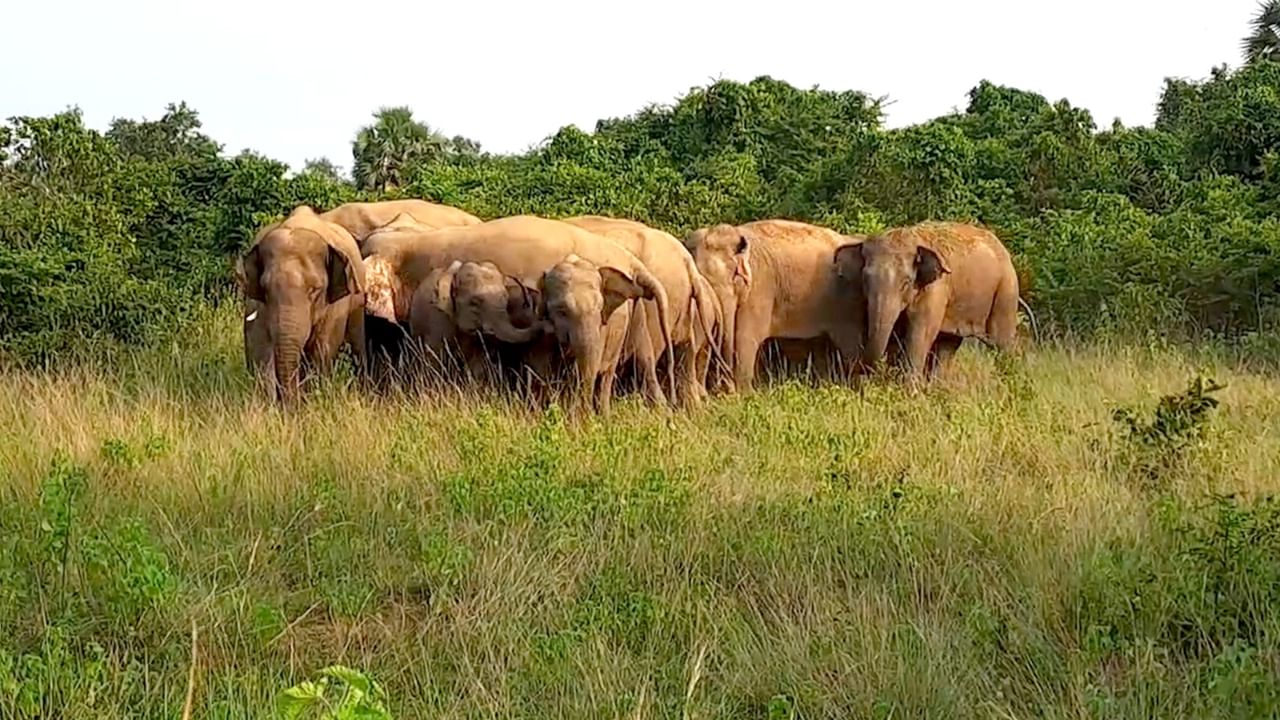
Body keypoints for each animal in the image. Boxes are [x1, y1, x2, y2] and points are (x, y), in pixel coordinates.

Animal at [234, 204, 363, 399]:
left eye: (315, 290)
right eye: (265, 289)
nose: (287, 403)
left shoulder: (336, 305)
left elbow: (322, 348)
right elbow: (259, 343)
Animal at [680, 219, 870, 392]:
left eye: (735, 278)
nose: (724, 387)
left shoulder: (759, 289)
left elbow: (745, 339)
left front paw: (743, 396)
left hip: (846, 303)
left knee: (849, 345)